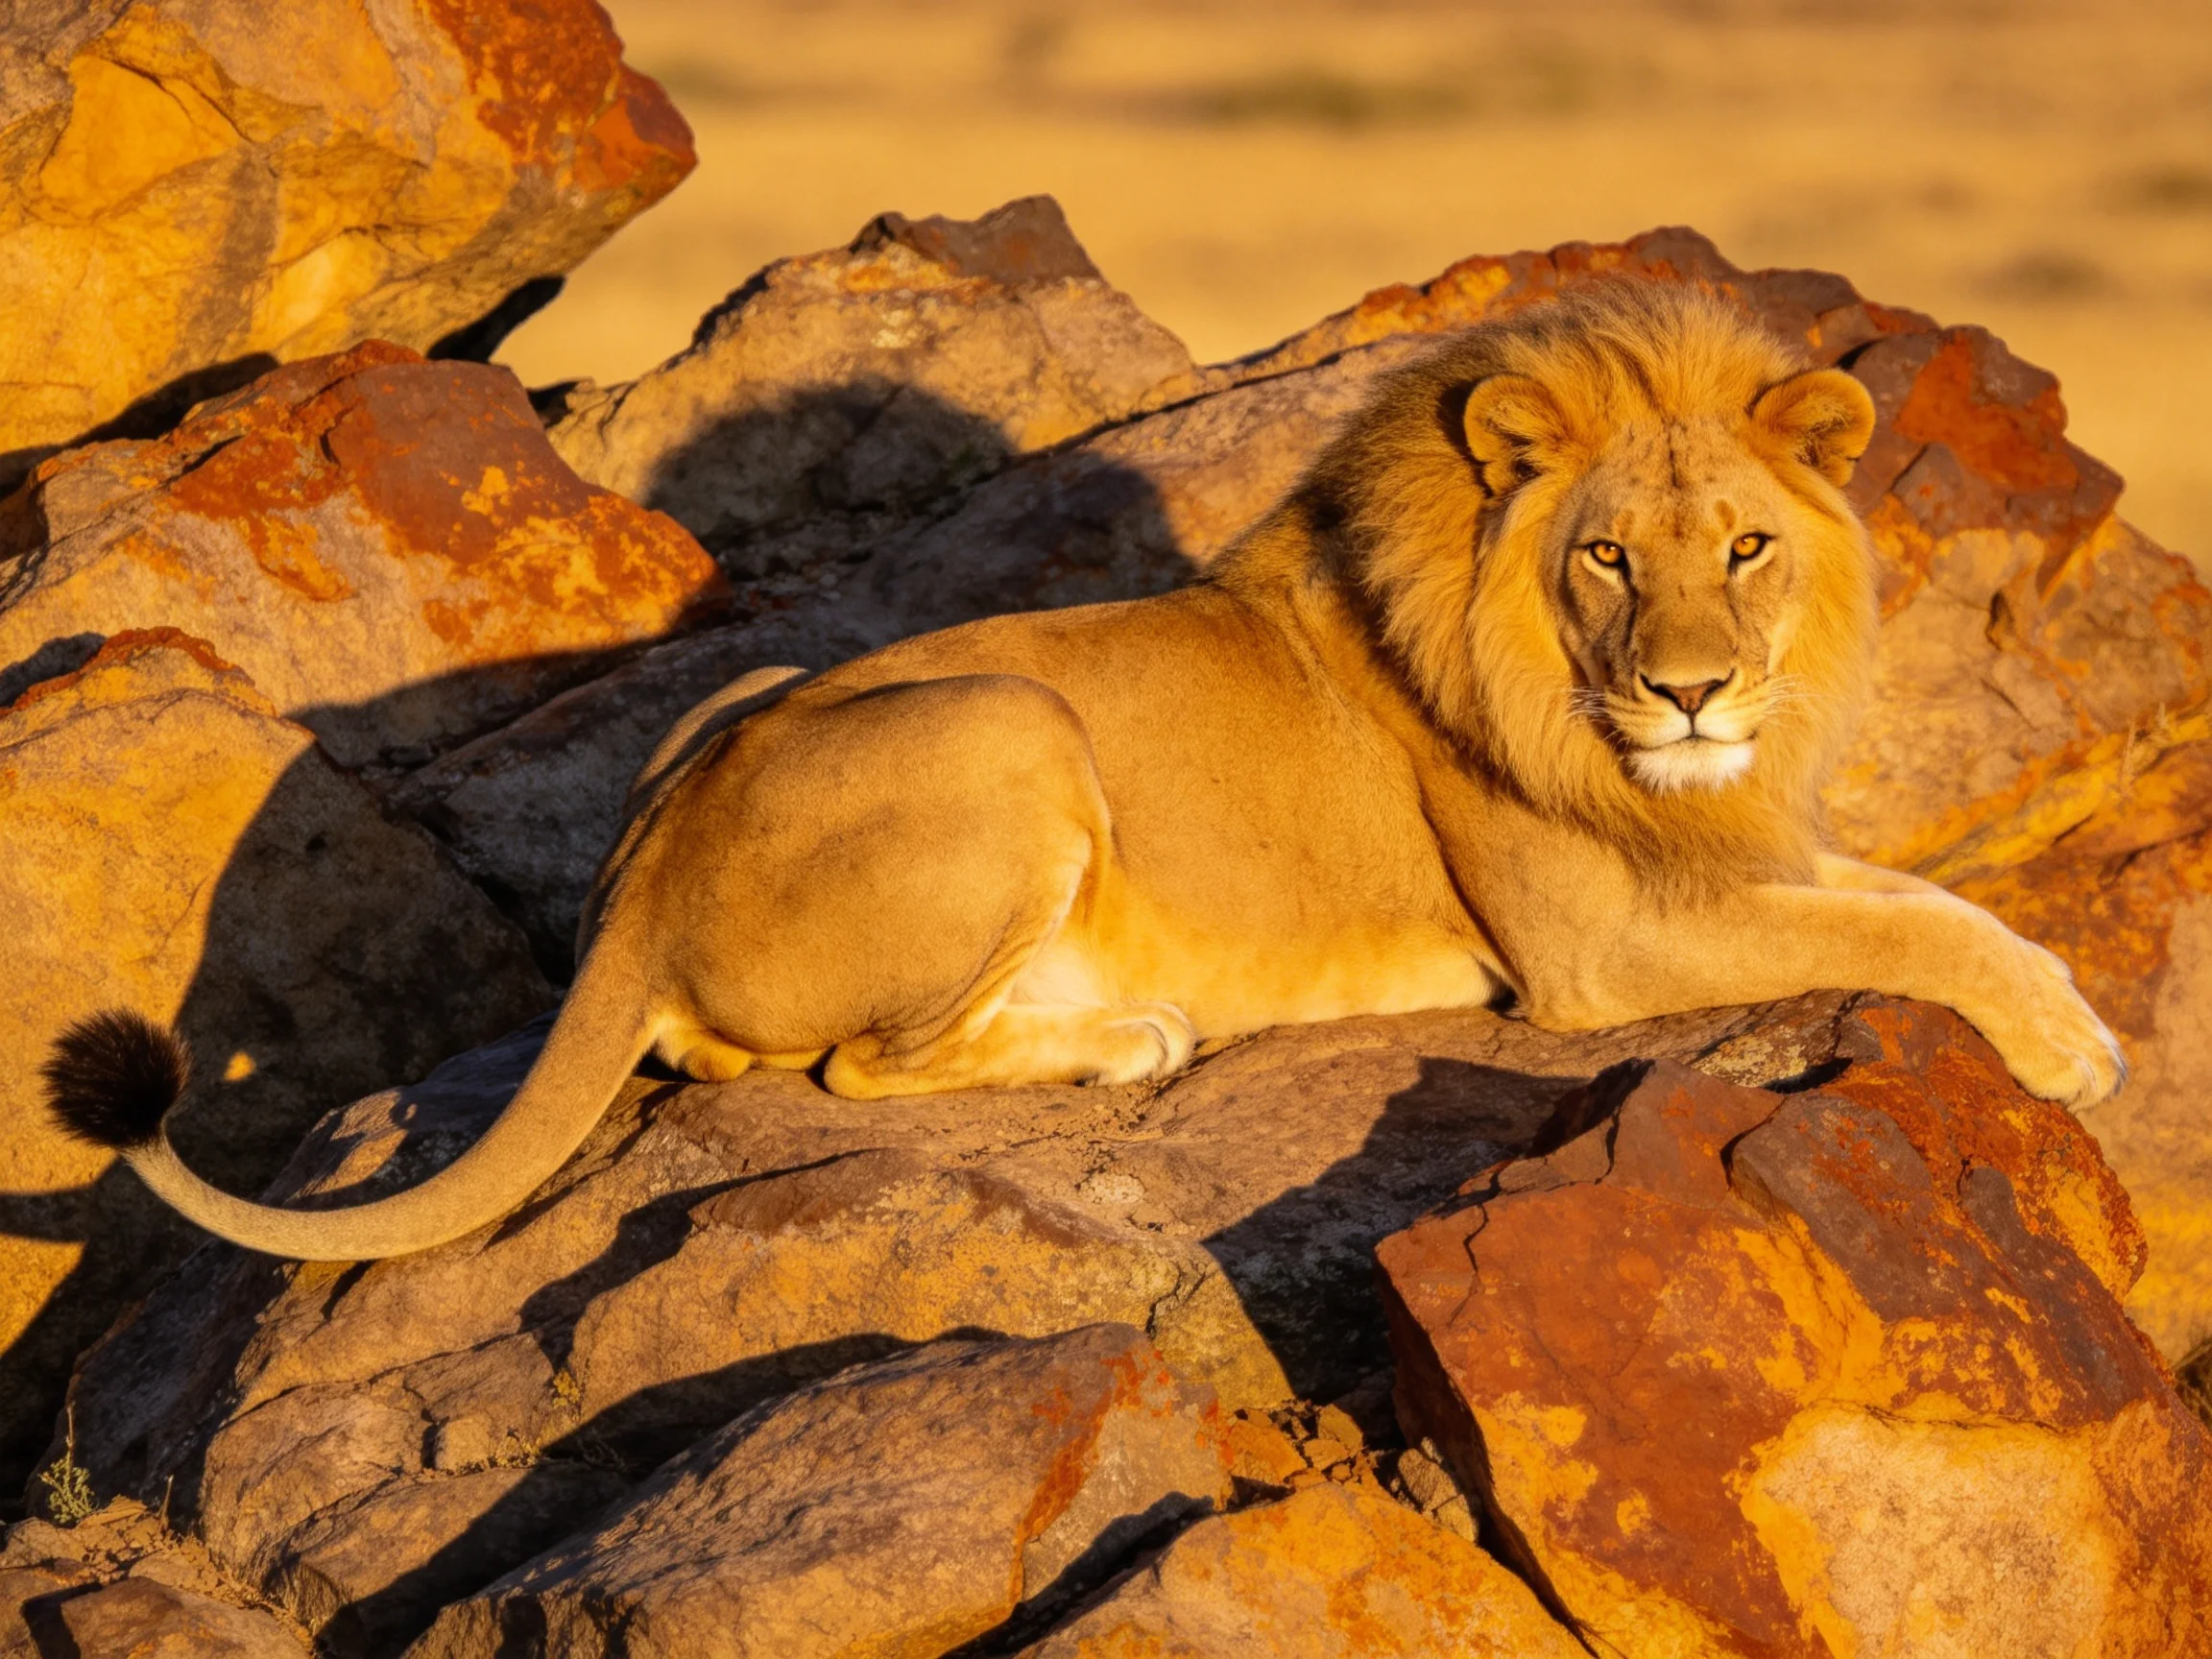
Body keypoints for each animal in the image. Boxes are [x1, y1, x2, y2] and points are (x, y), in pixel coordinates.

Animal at [45, 278, 2126, 1261]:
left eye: (1749, 548)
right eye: (1607, 557)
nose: (1693, 695)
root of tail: (638, 871)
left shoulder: (1724, 848)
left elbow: (1928, 899)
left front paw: (2071, 1008)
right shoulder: (1600, 955)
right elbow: (1911, 936)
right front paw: (2072, 1050)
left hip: (780, 691)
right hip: (1008, 725)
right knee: (845, 1069)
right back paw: (1127, 1038)